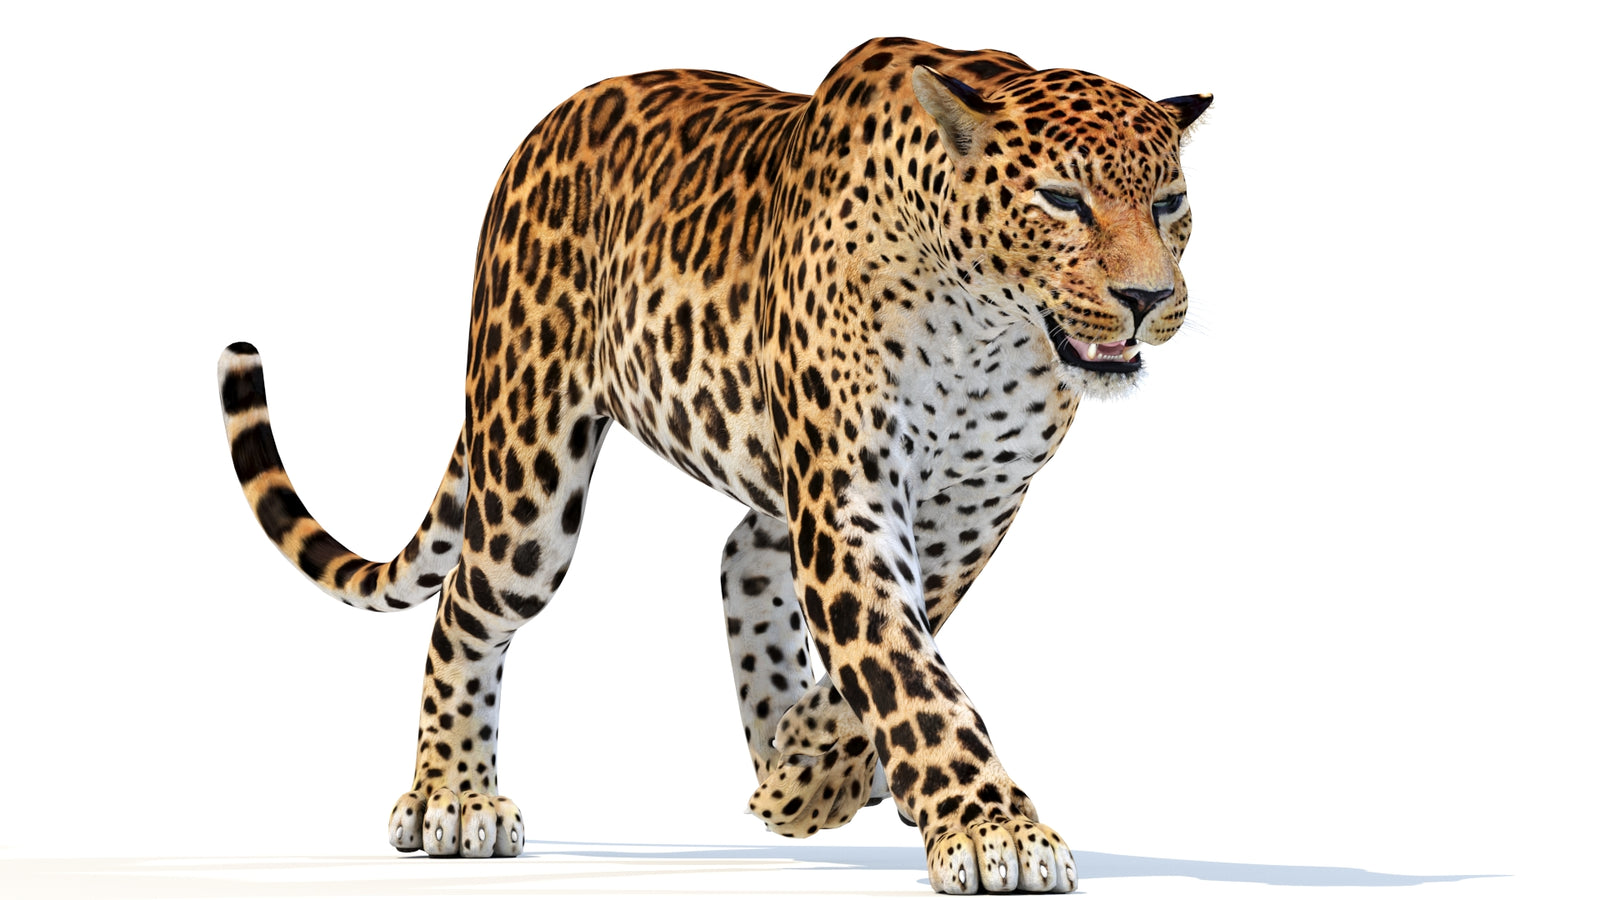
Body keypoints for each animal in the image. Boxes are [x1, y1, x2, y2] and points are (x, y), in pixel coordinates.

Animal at [217, 37, 1210, 894]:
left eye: (1169, 205)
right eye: (1061, 200)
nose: (1147, 297)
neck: (988, 331)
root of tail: (539, 132)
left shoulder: (969, 511)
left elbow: (896, 653)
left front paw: (812, 767)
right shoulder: (849, 498)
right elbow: (908, 671)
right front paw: (989, 828)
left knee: (741, 555)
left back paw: (789, 748)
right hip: (530, 481)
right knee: (466, 604)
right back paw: (454, 795)